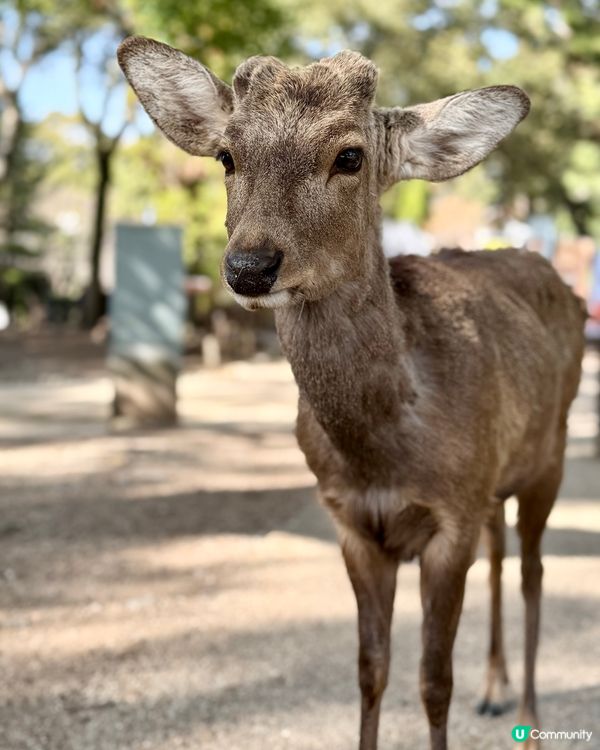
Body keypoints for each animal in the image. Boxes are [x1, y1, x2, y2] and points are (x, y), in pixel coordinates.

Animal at [118, 37, 586, 750]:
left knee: (534, 571)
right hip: (497, 480)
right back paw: (494, 689)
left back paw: (529, 714)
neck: (382, 451)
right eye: (227, 155)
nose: (249, 266)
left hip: (551, 455)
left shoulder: (452, 515)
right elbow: (371, 669)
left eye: (350, 156)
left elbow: (432, 680)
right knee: (503, 556)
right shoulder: (354, 524)